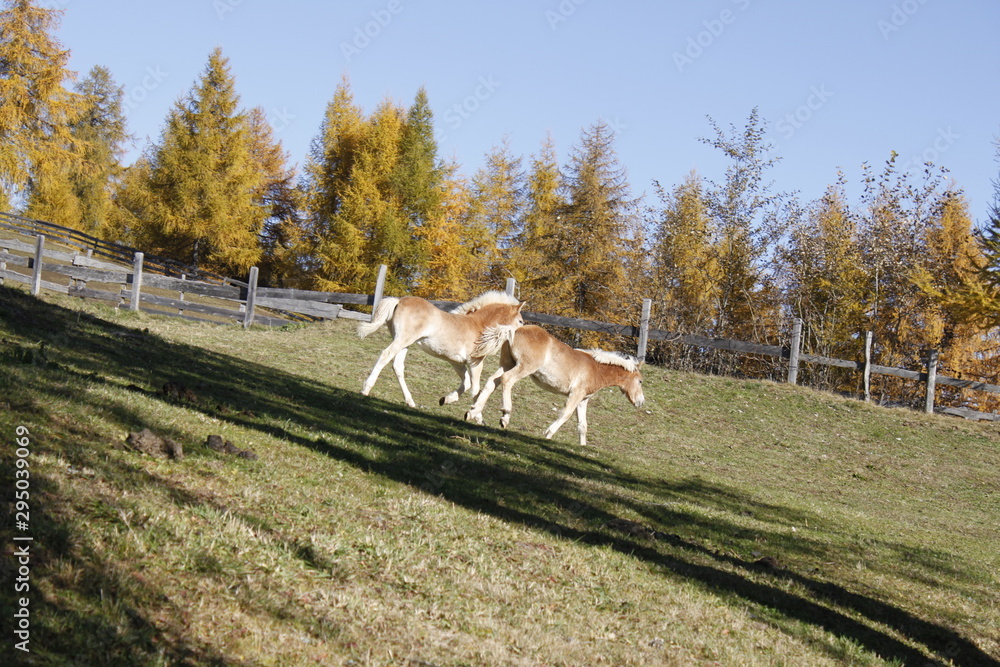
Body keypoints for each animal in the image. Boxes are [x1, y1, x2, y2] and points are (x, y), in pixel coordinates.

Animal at [358, 291, 527, 408]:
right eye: (520, 321)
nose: (521, 335)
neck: (478, 326)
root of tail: (399, 300)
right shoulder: (475, 362)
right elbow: (475, 388)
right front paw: (476, 416)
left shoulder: (456, 362)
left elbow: (466, 384)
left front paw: (446, 399)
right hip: (402, 340)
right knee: (385, 355)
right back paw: (365, 389)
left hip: (404, 343)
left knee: (397, 366)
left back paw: (410, 401)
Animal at [464, 324, 645, 446]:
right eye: (640, 381)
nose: (641, 402)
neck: (595, 368)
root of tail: (515, 329)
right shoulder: (575, 394)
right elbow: (565, 414)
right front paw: (548, 433)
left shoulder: (583, 399)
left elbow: (582, 425)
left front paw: (582, 447)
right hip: (524, 367)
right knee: (506, 380)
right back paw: (505, 416)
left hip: (507, 363)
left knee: (491, 382)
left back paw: (472, 412)